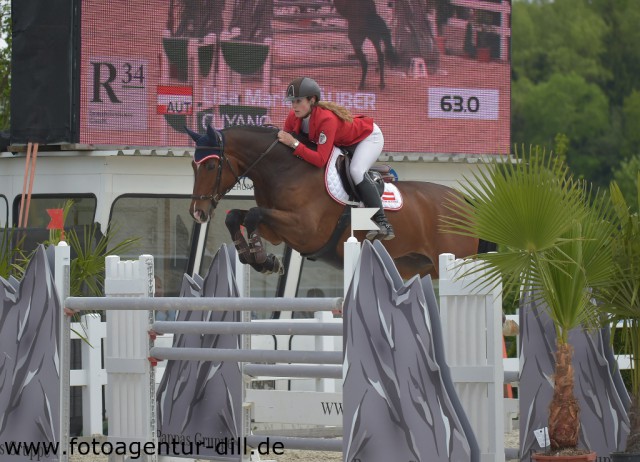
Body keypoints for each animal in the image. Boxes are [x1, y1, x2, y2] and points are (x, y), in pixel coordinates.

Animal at [188, 122, 488, 280]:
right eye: (193, 166)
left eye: (211, 166)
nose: (198, 213)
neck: (284, 169)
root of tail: (465, 203)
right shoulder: (277, 230)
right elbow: (237, 216)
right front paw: (259, 259)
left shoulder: (305, 229)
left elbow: (252, 214)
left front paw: (263, 259)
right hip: (417, 267)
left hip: (456, 260)